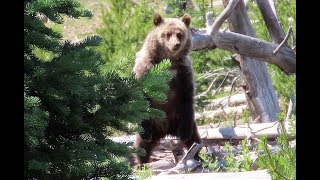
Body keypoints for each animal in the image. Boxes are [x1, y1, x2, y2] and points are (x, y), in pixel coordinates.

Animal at [132, 12, 201, 165]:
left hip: (179, 118)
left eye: (179, 34)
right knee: (142, 146)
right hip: (152, 120)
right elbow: (141, 95)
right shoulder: (146, 70)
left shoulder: (183, 74)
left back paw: (198, 156)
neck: (168, 62)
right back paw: (142, 163)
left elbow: (187, 97)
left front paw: (185, 136)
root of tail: (165, 130)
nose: (175, 44)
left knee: (195, 139)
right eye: (167, 34)